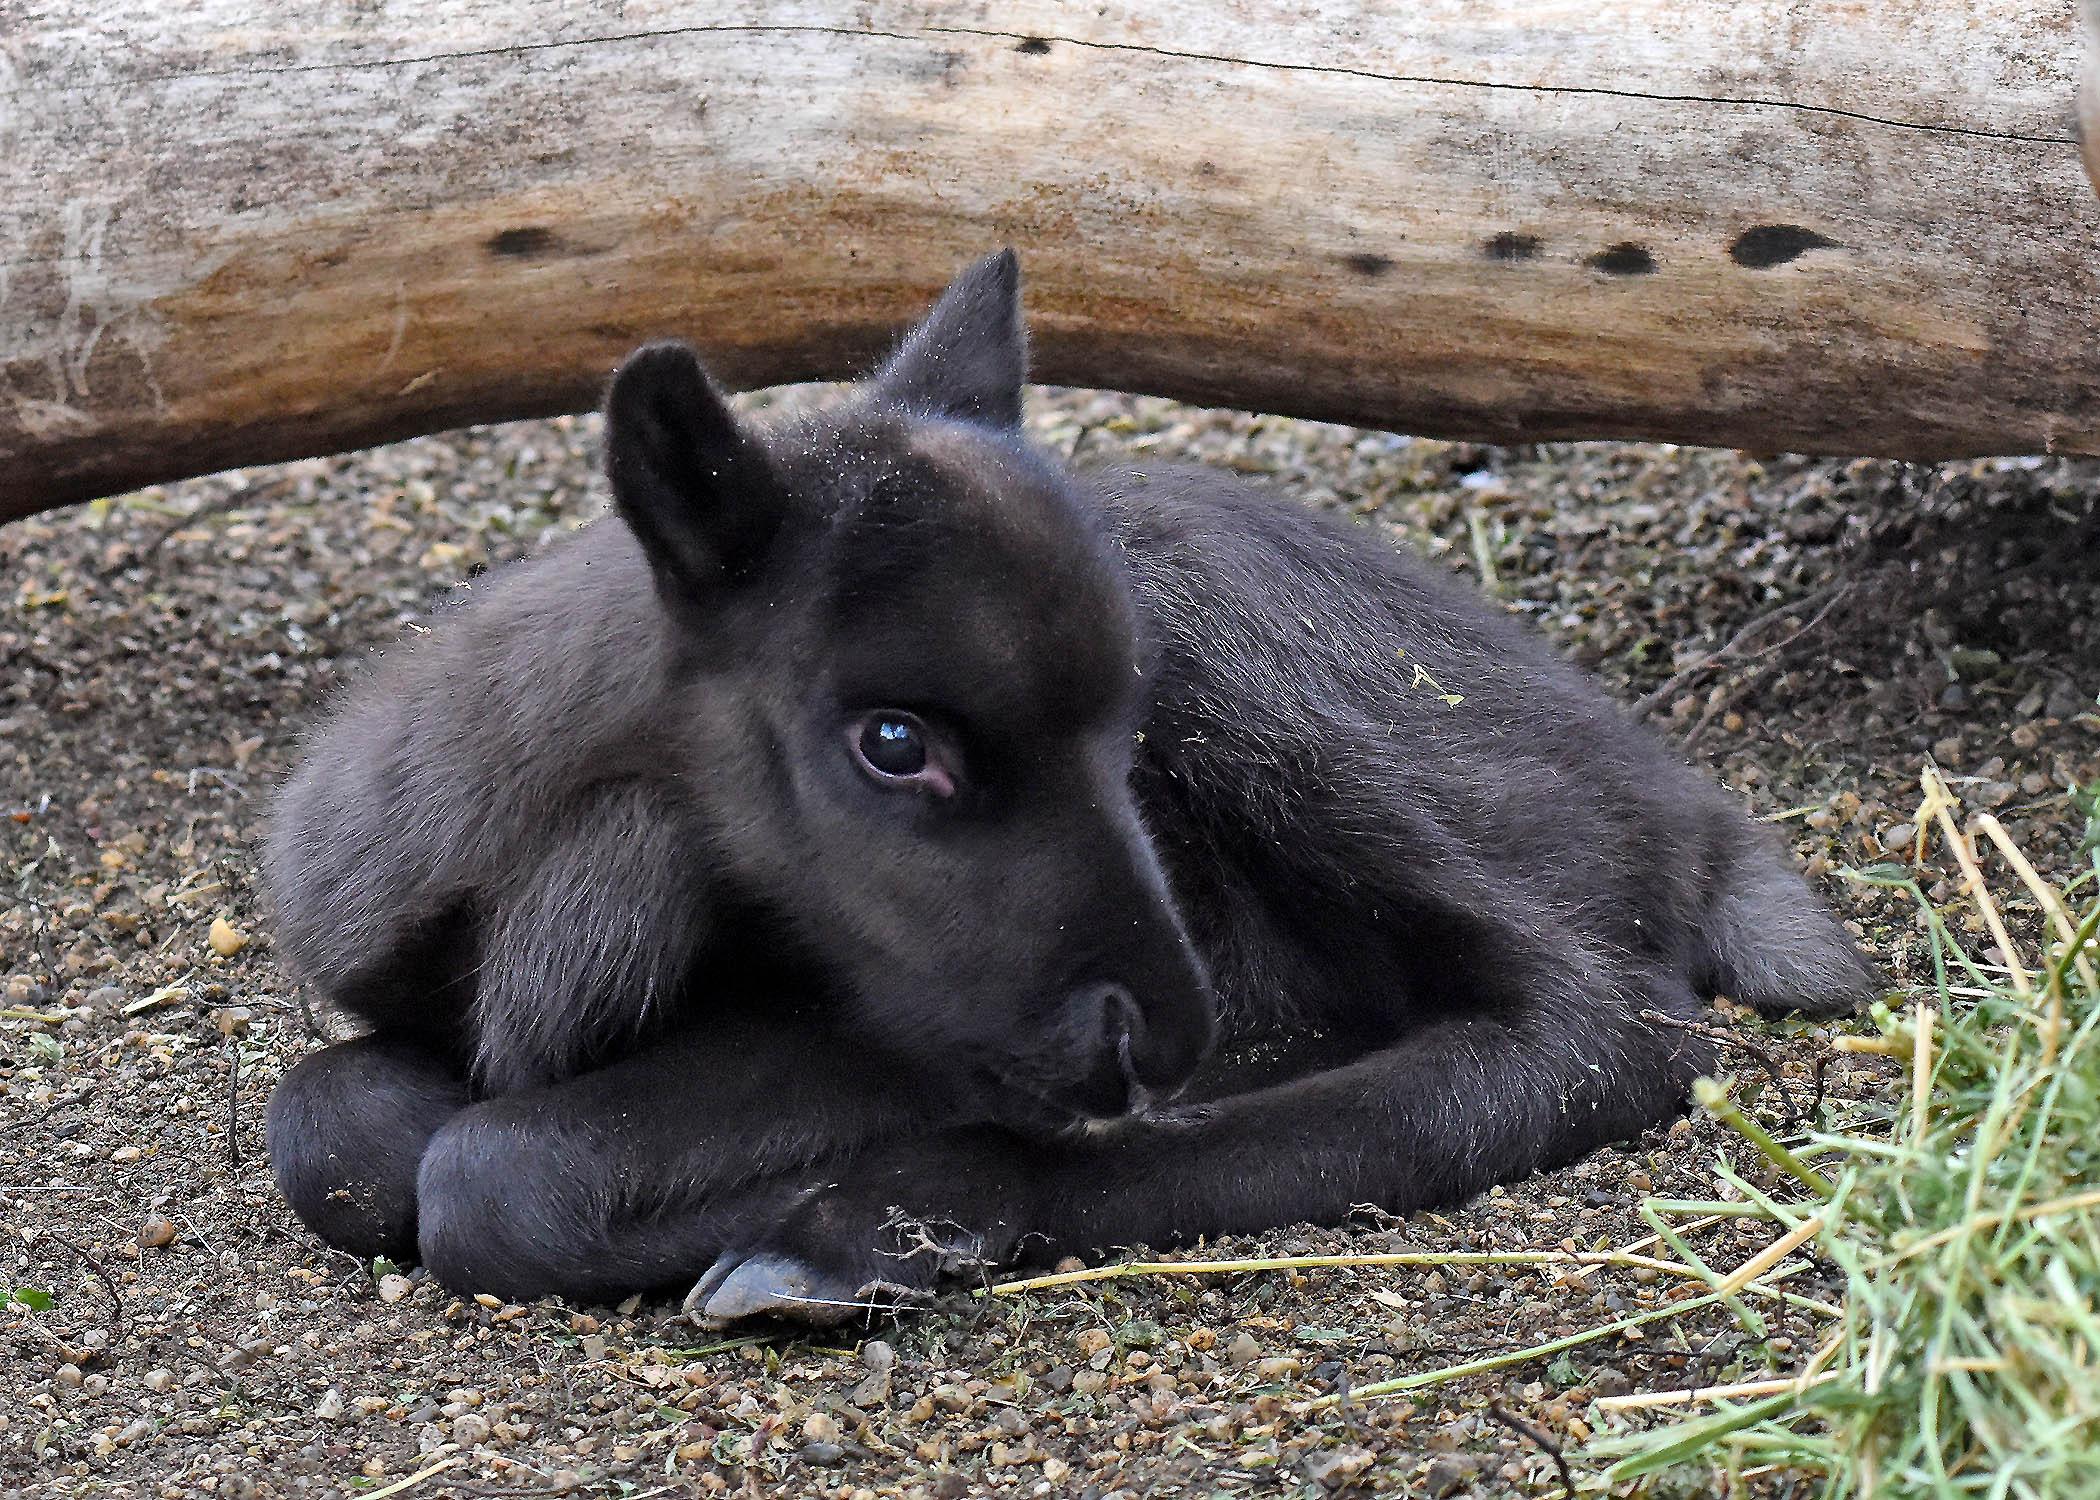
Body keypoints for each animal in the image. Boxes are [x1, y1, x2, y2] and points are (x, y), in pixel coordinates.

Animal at [262, 251, 1873, 1310]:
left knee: (1599, 1028)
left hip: (1305, 728)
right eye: (893, 740)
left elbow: (488, 1176)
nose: (1165, 1031)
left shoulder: (913, 1039)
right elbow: (327, 1122)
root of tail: (1687, 805)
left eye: (1126, 727)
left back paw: (867, 1230)